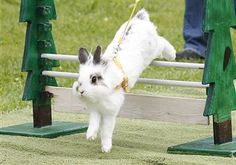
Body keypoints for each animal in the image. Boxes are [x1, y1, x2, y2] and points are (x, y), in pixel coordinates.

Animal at [73, 9, 176, 153]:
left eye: (94, 79)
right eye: (79, 78)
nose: (81, 91)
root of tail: (139, 19)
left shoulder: (110, 113)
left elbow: (106, 131)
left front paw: (106, 148)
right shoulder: (95, 111)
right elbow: (93, 124)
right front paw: (90, 137)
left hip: (155, 47)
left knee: (162, 41)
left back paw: (172, 55)